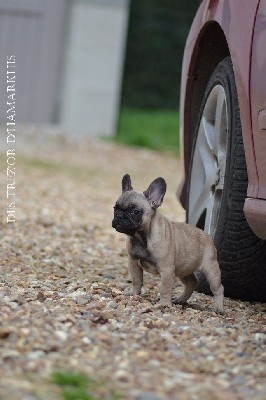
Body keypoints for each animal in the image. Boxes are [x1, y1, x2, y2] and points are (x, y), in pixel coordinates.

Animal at [111, 173, 224, 314]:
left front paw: (164, 304)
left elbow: (165, 288)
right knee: (192, 282)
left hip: (210, 269)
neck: (141, 237)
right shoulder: (134, 263)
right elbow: (136, 281)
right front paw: (134, 293)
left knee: (217, 288)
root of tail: (207, 235)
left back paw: (219, 308)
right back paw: (181, 299)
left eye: (135, 211)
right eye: (115, 208)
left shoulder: (166, 270)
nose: (119, 216)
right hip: (183, 269)